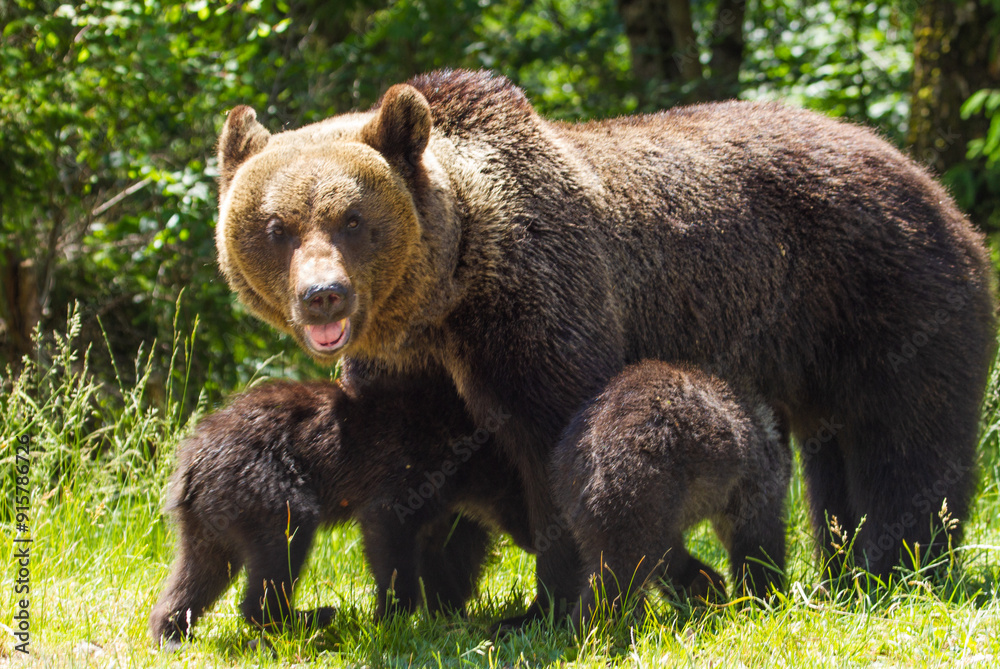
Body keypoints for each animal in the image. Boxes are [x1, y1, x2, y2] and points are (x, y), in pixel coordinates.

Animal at [149, 372, 532, 645]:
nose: (532, 543)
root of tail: (192, 459)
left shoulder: (442, 506)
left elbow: (438, 553)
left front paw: (452, 615)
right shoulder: (409, 474)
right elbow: (389, 529)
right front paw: (389, 618)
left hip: (210, 515)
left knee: (201, 570)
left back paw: (171, 632)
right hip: (261, 481)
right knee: (286, 535)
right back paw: (309, 616)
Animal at [550, 360, 792, 629]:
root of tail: (589, 455)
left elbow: (672, 555)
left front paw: (703, 585)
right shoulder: (754, 487)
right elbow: (759, 547)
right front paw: (764, 600)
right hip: (634, 495)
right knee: (619, 574)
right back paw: (594, 626)